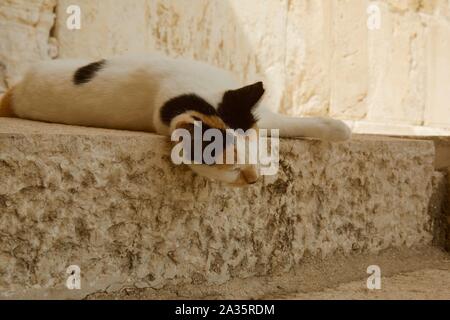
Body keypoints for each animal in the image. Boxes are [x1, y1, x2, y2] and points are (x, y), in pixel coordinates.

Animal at [0, 53, 352, 186]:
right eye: (233, 169)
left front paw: (337, 127)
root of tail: (15, 91)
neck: (200, 94)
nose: (253, 180)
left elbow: (280, 120)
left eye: (252, 156)